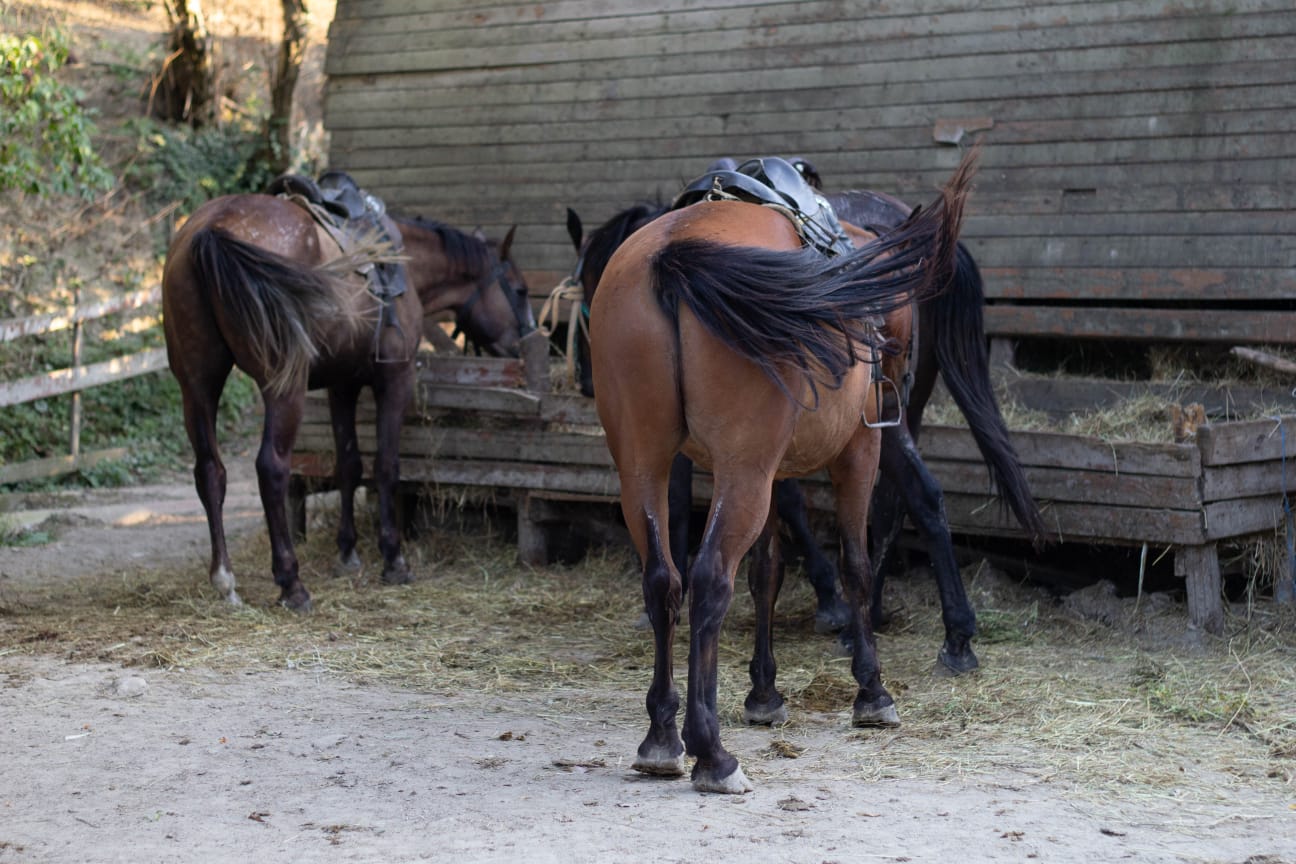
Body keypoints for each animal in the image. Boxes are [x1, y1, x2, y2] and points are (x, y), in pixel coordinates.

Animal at [163, 195, 536, 613]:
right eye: (520, 291)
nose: (529, 339)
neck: (402, 262)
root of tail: (211, 229)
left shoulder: (341, 385)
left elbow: (348, 465)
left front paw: (347, 553)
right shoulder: (395, 380)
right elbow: (386, 466)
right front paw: (393, 559)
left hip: (197, 385)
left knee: (210, 471)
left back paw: (225, 581)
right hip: (283, 387)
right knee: (271, 468)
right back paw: (291, 584)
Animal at [567, 177, 1041, 673]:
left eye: (587, 279)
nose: (583, 377)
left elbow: (712, 508)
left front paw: (827, 599)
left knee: (901, 498)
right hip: (885, 416)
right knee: (909, 498)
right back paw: (927, 629)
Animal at [588, 152, 974, 792]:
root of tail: (671, 256)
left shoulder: (770, 469)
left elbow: (766, 571)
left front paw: (764, 693)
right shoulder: (856, 450)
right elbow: (854, 565)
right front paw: (871, 692)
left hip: (645, 464)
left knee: (664, 579)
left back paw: (662, 737)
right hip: (745, 469)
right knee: (709, 578)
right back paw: (711, 752)